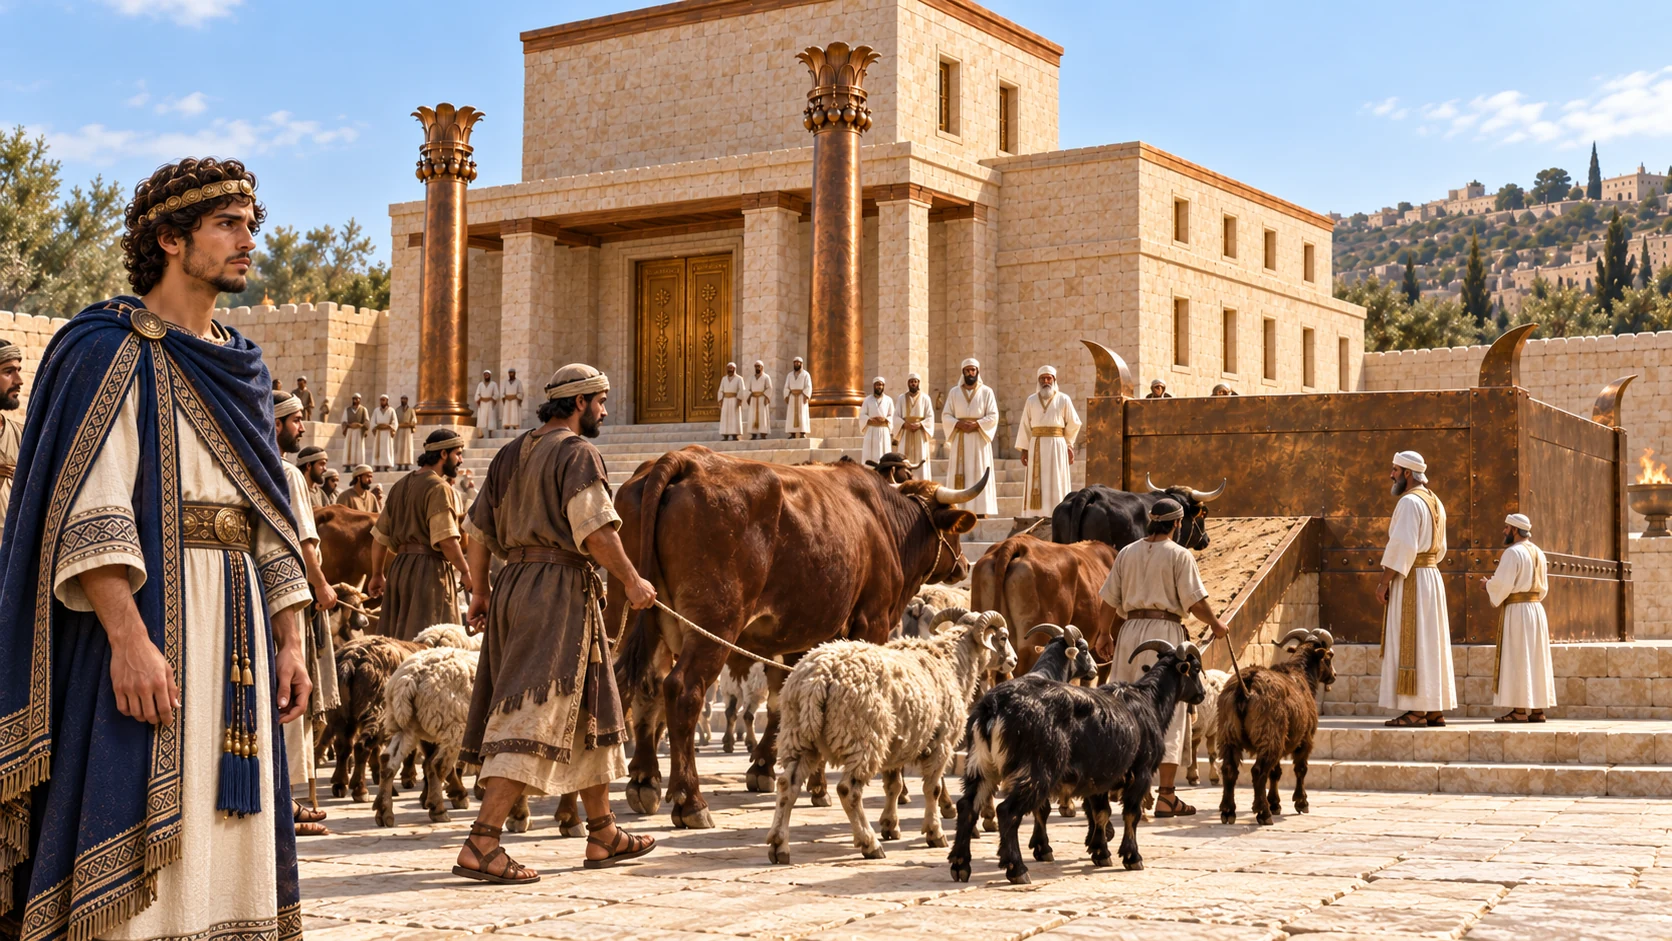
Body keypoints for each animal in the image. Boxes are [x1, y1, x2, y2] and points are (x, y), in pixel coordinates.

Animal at [373, 646, 480, 828]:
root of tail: (410, 677)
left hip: (408, 726)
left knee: (388, 761)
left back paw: (384, 811)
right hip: (453, 726)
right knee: (439, 765)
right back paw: (439, 810)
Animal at [609, 447, 988, 829]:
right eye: (955, 532)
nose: (964, 566)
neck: (883, 521)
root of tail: (683, 459)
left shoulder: (802, 636)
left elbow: (789, 700)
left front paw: (792, 774)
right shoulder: (873, 621)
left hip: (633, 612)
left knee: (631, 685)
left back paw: (643, 780)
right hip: (713, 623)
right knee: (681, 690)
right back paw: (690, 800)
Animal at [765, 609, 1015, 864]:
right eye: (1003, 637)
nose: (1013, 660)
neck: (952, 663)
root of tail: (819, 678)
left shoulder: (899, 742)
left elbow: (894, 786)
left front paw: (890, 826)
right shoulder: (941, 742)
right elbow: (932, 789)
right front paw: (934, 833)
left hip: (800, 735)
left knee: (788, 784)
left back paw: (779, 846)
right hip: (864, 736)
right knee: (848, 791)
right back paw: (869, 843)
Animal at [949, 637, 1207, 884]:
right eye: (1195, 668)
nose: (1202, 694)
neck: (1149, 701)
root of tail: (993, 708)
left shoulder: (1101, 776)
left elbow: (1101, 813)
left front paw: (1100, 852)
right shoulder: (1141, 771)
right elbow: (1131, 814)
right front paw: (1132, 857)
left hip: (981, 766)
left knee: (967, 807)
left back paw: (960, 865)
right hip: (1037, 769)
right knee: (1007, 811)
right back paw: (1017, 869)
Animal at [1218, 628, 1336, 826]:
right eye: (1328, 657)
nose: (1334, 676)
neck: (1300, 674)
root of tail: (1247, 684)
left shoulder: (1283, 738)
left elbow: (1276, 772)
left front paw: (1275, 803)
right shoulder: (1305, 739)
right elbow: (1300, 769)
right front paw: (1301, 802)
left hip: (1229, 733)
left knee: (1229, 769)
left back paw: (1228, 812)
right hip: (1269, 732)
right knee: (1258, 771)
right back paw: (1263, 813)